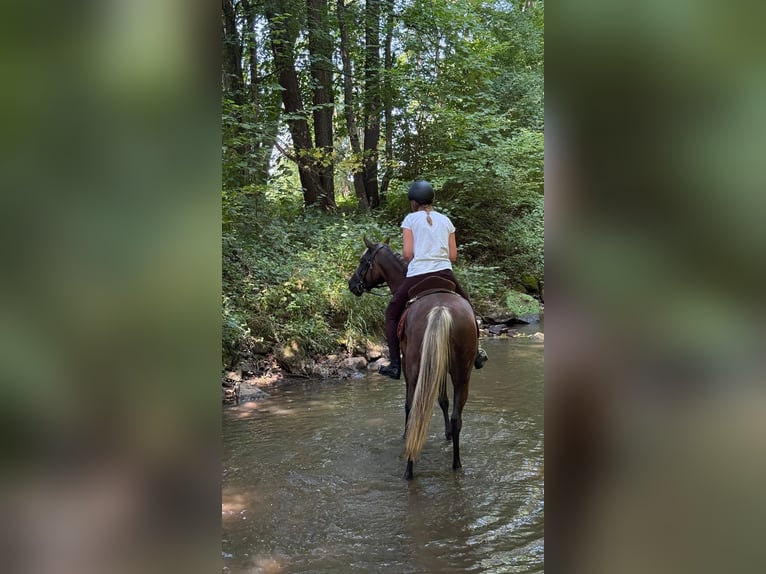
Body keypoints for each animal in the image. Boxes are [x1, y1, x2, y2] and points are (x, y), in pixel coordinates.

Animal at [348, 237, 478, 479]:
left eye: (363, 261)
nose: (352, 285)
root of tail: (441, 309)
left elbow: (410, 406)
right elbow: (443, 401)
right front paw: (447, 434)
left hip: (414, 367)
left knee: (415, 408)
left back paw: (409, 466)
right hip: (462, 373)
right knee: (457, 417)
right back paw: (456, 463)